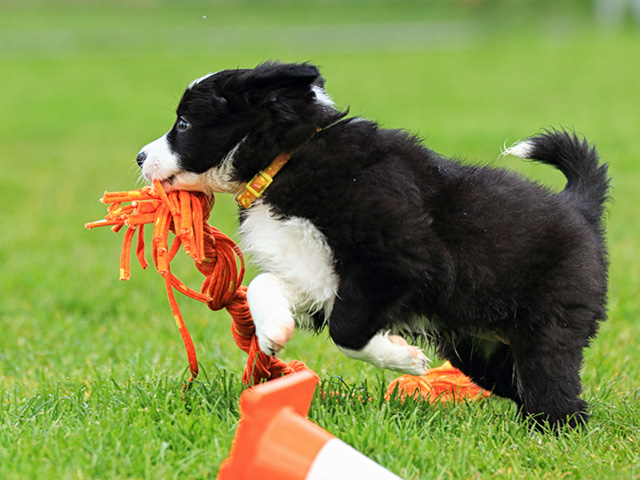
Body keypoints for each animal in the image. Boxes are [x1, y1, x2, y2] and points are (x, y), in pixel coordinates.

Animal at [136, 61, 609, 429]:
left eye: (184, 124)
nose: (140, 156)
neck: (285, 162)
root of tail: (579, 206)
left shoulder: (397, 259)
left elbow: (347, 331)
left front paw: (404, 358)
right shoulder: (316, 274)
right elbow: (263, 284)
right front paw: (273, 330)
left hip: (550, 321)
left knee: (555, 389)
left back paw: (549, 432)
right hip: (480, 347)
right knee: (519, 384)